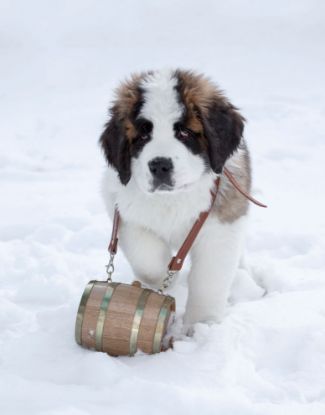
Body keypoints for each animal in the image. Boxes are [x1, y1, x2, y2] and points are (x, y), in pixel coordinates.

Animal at [98, 68, 251, 328]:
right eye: (142, 136)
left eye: (184, 132)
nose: (160, 165)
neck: (171, 199)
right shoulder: (125, 215)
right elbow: (149, 263)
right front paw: (168, 280)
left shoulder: (220, 225)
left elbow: (210, 279)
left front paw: (202, 323)